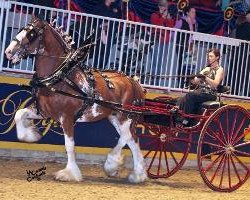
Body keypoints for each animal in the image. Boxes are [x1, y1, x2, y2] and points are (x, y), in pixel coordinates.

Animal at [4, 15, 148, 183]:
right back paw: (138, 174)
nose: (8, 52)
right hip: (115, 117)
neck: (60, 77)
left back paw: (112, 164)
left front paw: (70, 173)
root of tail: (134, 82)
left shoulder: (66, 117)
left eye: (31, 33)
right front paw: (30, 135)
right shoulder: (44, 111)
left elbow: (69, 145)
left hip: (124, 116)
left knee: (127, 136)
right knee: (133, 140)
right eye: (21, 29)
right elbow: (19, 114)